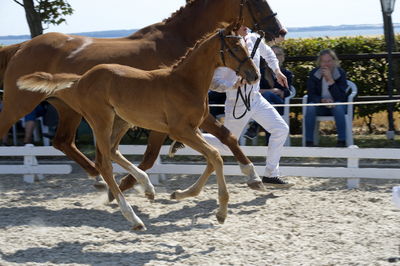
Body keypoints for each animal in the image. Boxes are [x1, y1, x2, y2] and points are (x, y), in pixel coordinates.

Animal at [1, 0, 286, 190]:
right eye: (257, 1)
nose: (280, 31)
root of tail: (21, 47)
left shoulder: (192, 114)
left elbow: (227, 136)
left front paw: (253, 176)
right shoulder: (167, 119)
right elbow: (149, 158)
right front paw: (132, 185)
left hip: (67, 108)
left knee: (63, 142)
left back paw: (99, 178)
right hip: (19, 103)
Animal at [18, 24, 260, 229]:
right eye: (235, 47)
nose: (254, 75)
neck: (185, 83)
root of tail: (81, 80)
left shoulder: (193, 129)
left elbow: (212, 157)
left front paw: (179, 194)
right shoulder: (181, 130)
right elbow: (215, 156)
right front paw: (221, 212)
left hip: (121, 121)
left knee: (112, 152)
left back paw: (147, 188)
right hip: (101, 120)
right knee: (104, 163)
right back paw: (133, 218)